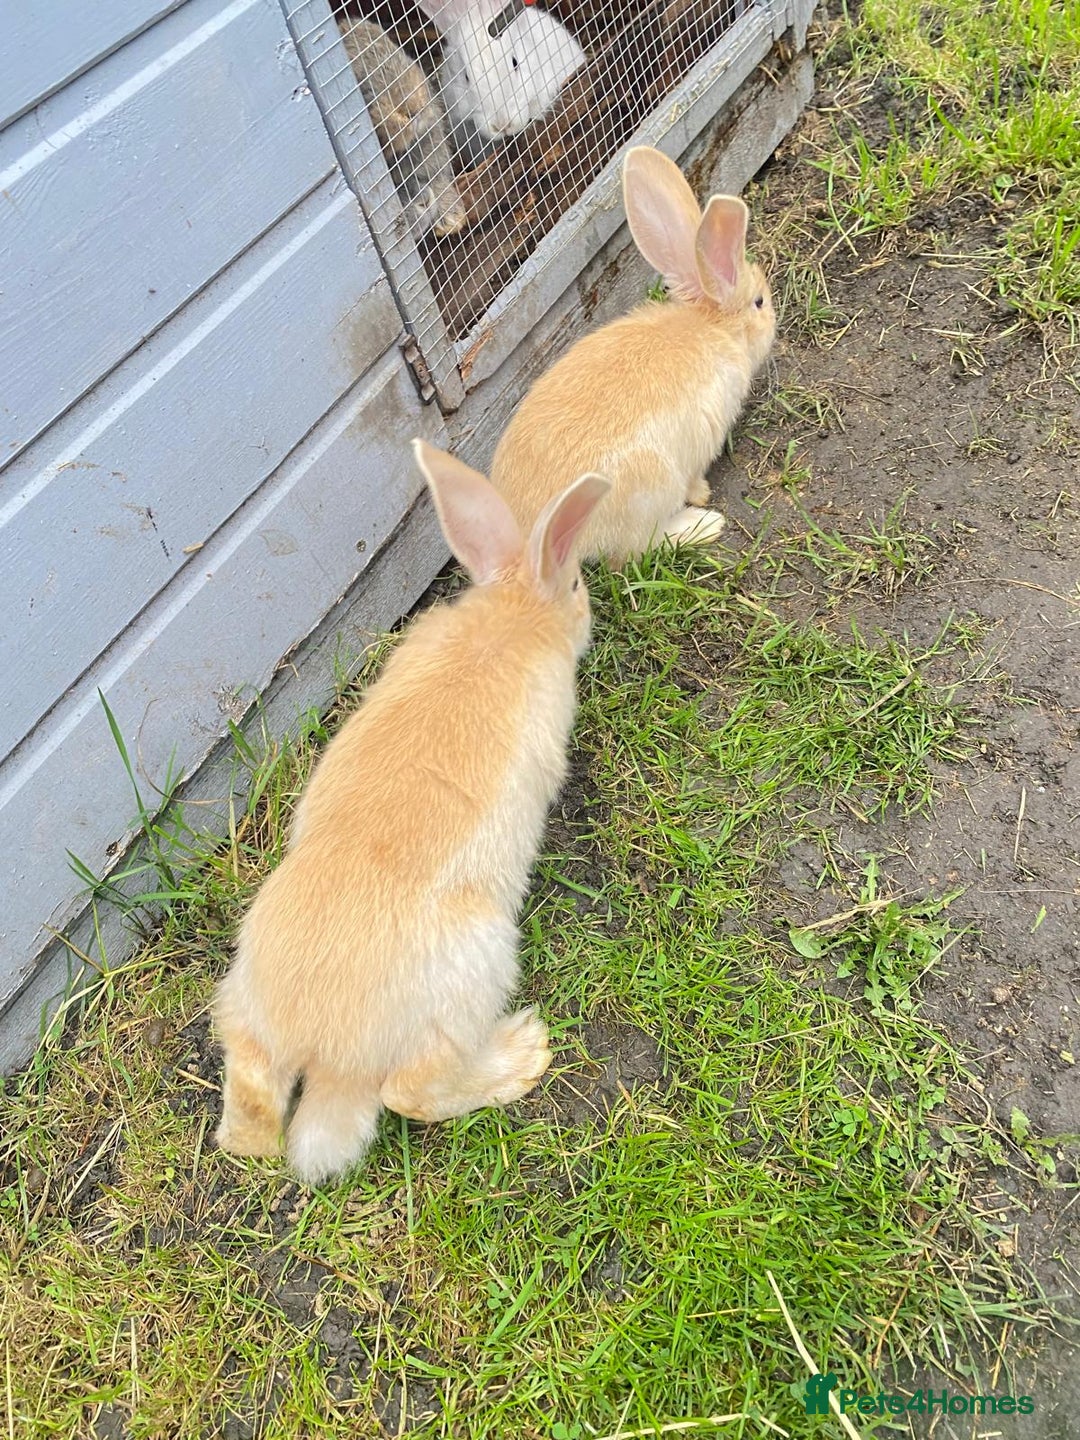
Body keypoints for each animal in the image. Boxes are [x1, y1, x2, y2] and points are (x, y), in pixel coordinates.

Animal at [213, 441, 610, 1186]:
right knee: (410, 1093)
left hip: (245, 998)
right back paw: (522, 1054)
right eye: (573, 585)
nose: (587, 606)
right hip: (475, 968)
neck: (513, 611)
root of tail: (326, 1049)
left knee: (249, 1117)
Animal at [490, 144, 777, 566]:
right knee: (638, 547)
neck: (713, 328)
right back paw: (703, 524)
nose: (774, 318)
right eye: (759, 302)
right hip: (649, 488)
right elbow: (694, 478)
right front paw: (702, 494)